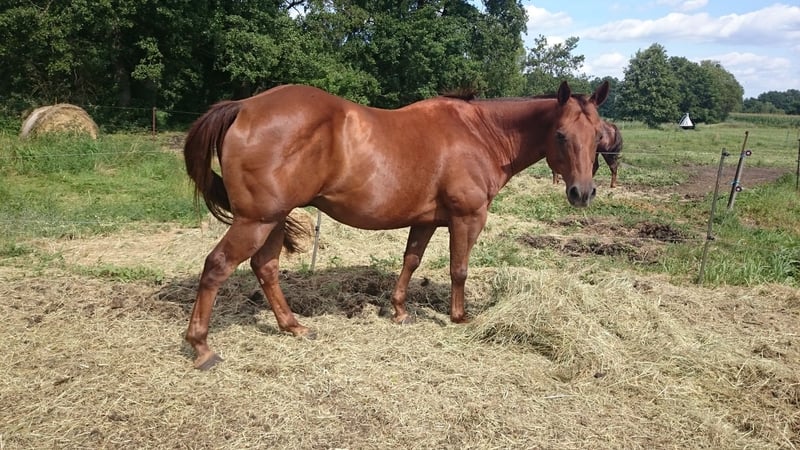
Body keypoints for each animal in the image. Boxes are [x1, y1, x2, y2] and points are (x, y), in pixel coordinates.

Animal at [183, 80, 609, 369]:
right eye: (561, 135)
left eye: (598, 136)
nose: (583, 192)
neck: (479, 134)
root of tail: (244, 107)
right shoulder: (467, 217)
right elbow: (458, 268)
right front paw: (459, 316)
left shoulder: (426, 221)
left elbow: (411, 262)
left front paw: (400, 310)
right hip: (255, 221)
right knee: (217, 267)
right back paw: (201, 347)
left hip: (271, 220)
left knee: (265, 267)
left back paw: (293, 326)